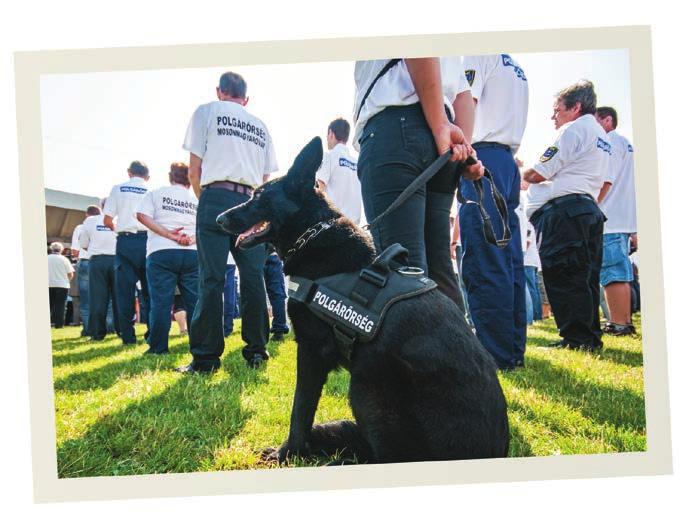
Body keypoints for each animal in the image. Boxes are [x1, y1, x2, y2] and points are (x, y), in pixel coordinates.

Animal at [218, 138, 508, 462]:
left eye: (258, 196)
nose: (218, 218)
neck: (312, 233)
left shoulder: (311, 351)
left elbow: (300, 410)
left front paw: (289, 452)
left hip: (366, 386)